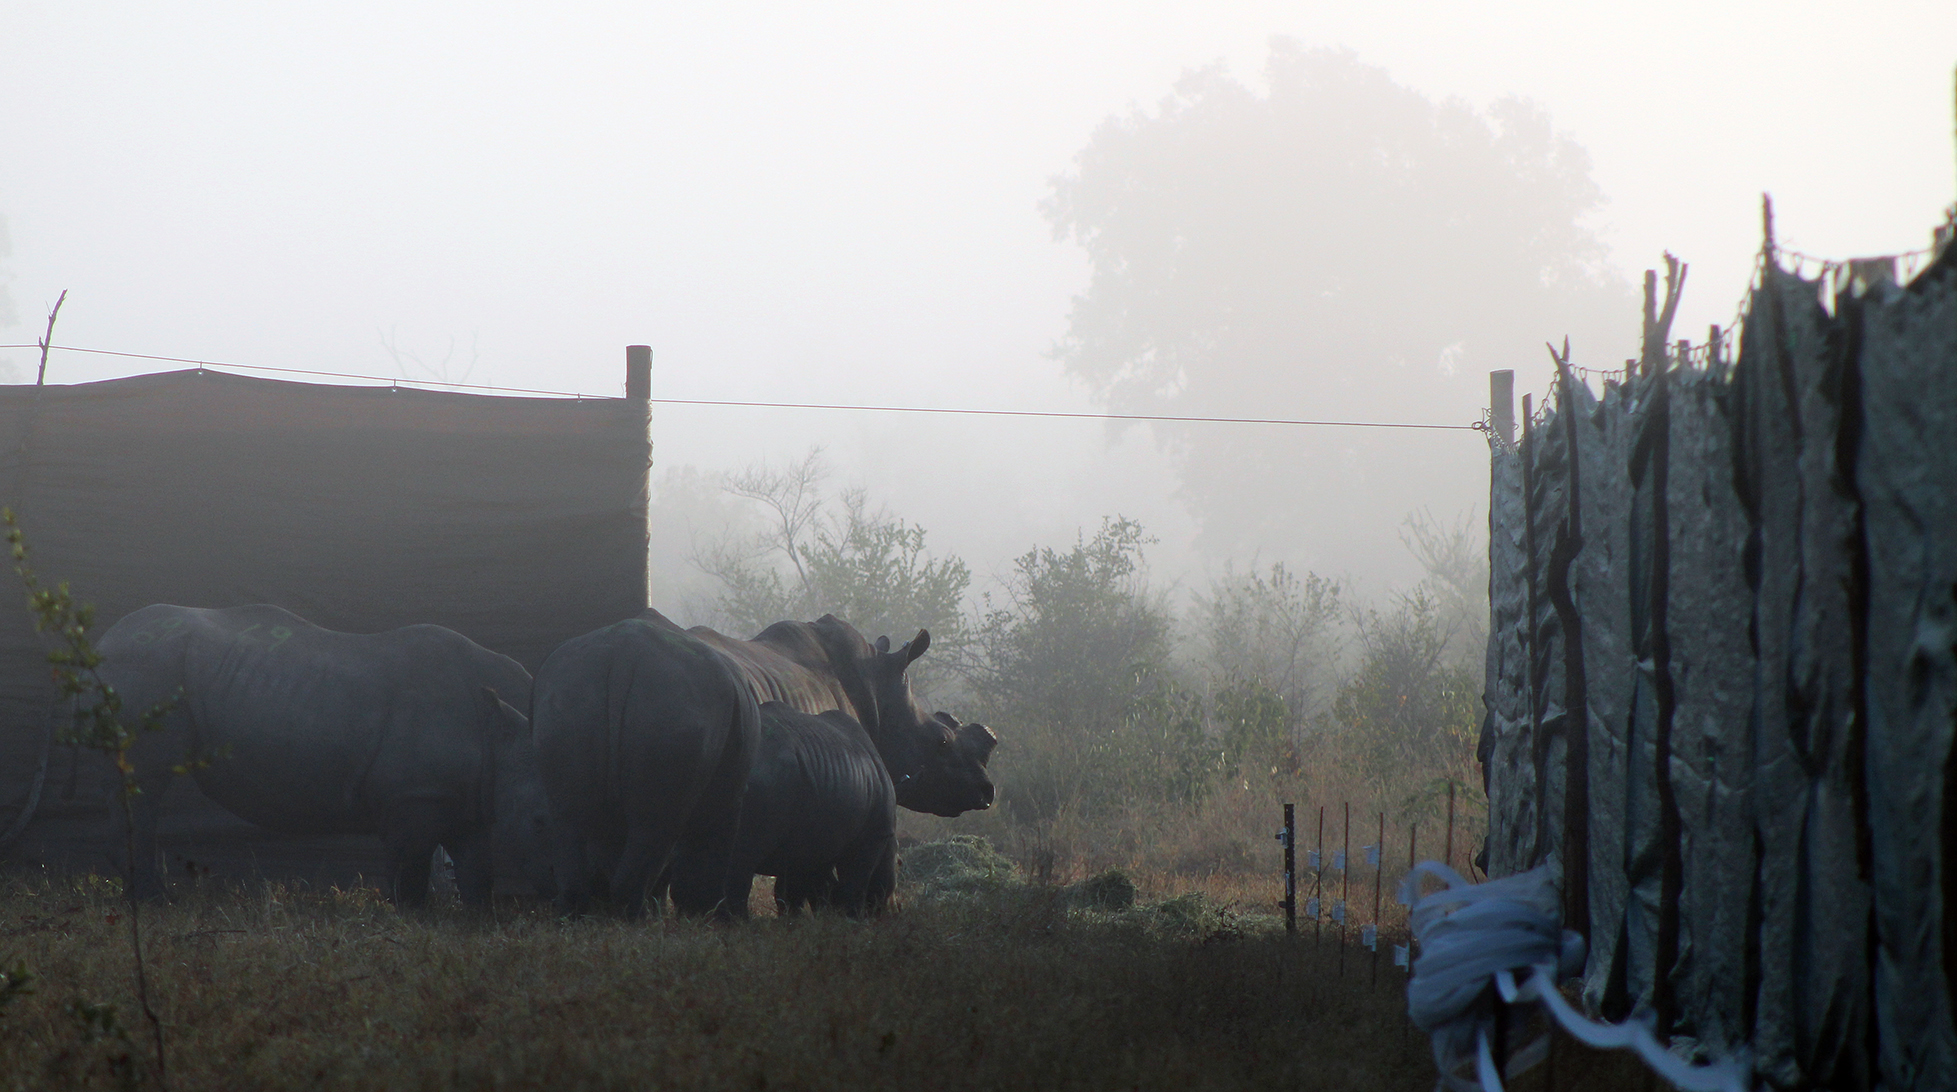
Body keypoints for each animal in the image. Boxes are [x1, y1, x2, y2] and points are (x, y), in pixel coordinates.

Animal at [96, 603, 554, 907]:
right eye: (539, 821)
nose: (569, 902)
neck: (504, 732)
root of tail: (106, 638)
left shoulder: (467, 798)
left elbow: (479, 872)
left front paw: (476, 920)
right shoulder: (415, 795)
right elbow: (410, 871)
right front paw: (413, 918)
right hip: (148, 666)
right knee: (147, 779)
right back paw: (158, 903)